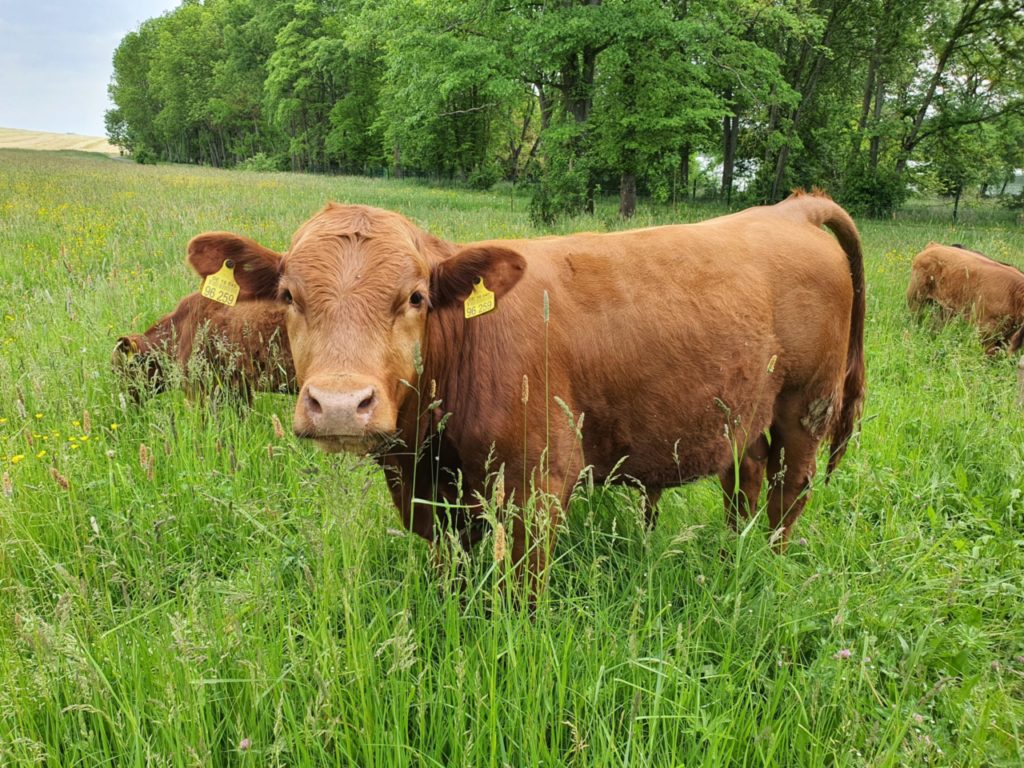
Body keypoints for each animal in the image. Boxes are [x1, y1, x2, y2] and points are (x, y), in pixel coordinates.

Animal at [186, 191, 864, 589]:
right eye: (288, 295)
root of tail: (789, 209)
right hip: (742, 415)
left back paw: (764, 566)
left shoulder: (538, 478)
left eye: (415, 297)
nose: (339, 406)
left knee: (789, 491)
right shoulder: (430, 488)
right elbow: (449, 567)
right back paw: (731, 555)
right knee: (746, 479)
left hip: (807, 407)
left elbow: (521, 587)